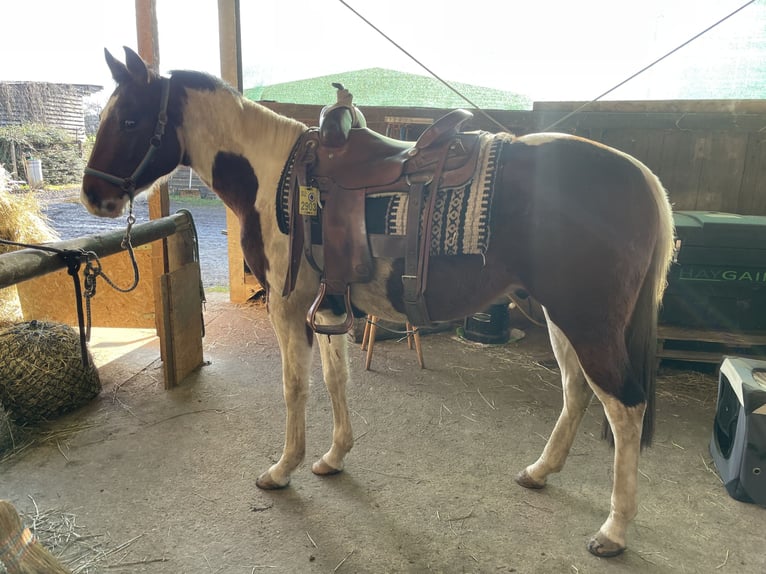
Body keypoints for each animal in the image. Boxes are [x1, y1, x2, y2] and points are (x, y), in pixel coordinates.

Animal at [81, 47, 676, 560]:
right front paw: (332, 457)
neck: (274, 174)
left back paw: (614, 531)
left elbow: (295, 387)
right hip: (560, 316)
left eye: (130, 120)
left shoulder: (288, 306)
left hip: (588, 320)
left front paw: (282, 469)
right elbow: (336, 377)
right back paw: (539, 471)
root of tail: (642, 175)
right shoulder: (328, 304)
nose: (93, 194)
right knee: (578, 391)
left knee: (625, 407)